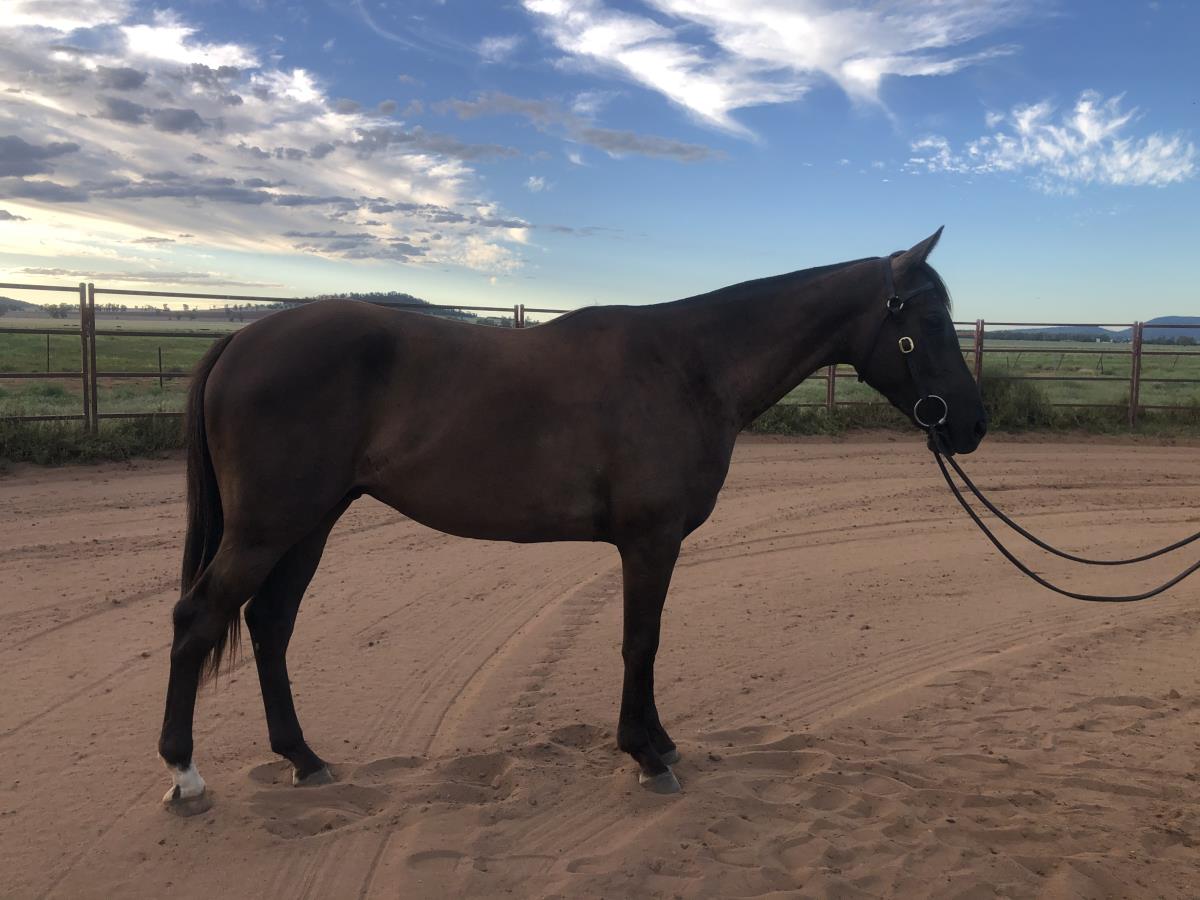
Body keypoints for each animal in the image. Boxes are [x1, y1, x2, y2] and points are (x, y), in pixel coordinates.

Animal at [158, 227, 987, 809]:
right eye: (928, 321)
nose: (972, 424)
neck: (690, 367)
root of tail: (241, 338)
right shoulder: (650, 542)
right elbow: (640, 642)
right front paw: (646, 755)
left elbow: (645, 643)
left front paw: (659, 742)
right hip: (270, 527)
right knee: (199, 619)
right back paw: (186, 774)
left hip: (309, 524)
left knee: (268, 624)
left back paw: (304, 758)